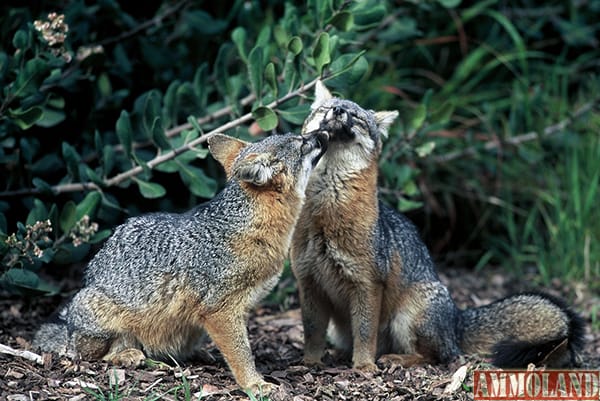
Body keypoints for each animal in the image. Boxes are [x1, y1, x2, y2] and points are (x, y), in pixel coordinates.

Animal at [32, 130, 328, 392]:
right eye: (303, 143)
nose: (324, 132)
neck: (248, 227)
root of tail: (69, 331)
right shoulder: (220, 309)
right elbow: (241, 353)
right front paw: (253, 384)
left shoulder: (234, 310)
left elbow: (241, 346)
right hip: (104, 319)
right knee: (90, 355)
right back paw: (127, 355)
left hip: (192, 328)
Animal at [290, 81, 584, 372]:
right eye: (327, 109)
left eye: (356, 117)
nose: (338, 110)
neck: (325, 211)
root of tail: (456, 320)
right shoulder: (309, 281)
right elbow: (312, 332)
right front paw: (310, 361)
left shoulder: (367, 283)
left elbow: (364, 333)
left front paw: (364, 366)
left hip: (408, 316)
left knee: (439, 356)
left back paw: (396, 359)